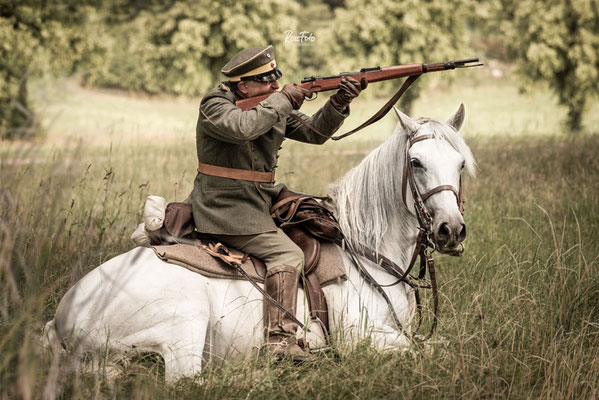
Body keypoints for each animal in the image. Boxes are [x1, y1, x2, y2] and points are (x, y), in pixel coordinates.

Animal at [42, 105, 476, 382]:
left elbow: (444, 343)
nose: (450, 230)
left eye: (459, 164)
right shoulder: (365, 341)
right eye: (416, 163)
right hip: (184, 322)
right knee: (188, 381)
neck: (367, 254)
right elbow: (430, 351)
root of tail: (61, 317)